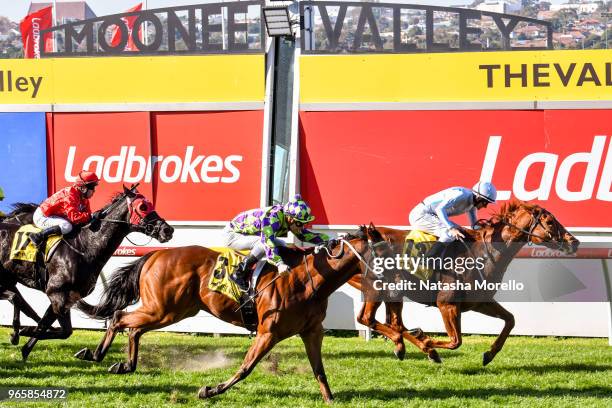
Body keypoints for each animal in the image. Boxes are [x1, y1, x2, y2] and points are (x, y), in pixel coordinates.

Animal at [0, 186, 173, 360]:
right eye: (143, 207)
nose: (168, 230)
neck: (84, 246)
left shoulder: (66, 297)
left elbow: (48, 325)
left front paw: (25, 345)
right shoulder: (57, 293)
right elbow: (64, 331)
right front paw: (23, 333)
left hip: (9, 280)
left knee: (19, 300)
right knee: (16, 299)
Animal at [75, 223, 388, 402]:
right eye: (385, 250)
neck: (308, 278)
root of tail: (156, 254)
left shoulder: (312, 332)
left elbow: (319, 371)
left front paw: (330, 399)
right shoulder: (268, 332)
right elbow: (246, 367)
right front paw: (210, 390)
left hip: (172, 311)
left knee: (134, 328)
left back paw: (125, 364)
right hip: (163, 308)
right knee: (120, 318)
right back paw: (96, 354)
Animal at [350, 202, 580, 364]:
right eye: (549, 222)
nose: (574, 242)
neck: (486, 253)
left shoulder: (480, 302)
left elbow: (510, 320)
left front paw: (489, 354)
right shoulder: (447, 304)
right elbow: (456, 341)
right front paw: (428, 342)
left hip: (392, 292)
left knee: (392, 322)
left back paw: (410, 345)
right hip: (378, 288)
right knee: (368, 318)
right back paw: (419, 345)